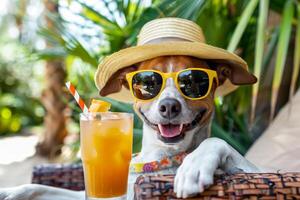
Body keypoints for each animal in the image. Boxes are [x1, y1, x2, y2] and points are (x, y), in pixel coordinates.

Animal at [0, 55, 258, 200]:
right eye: (147, 83)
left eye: (194, 81)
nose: (169, 106)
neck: (160, 159)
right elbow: (36, 187)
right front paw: (10, 192)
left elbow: (216, 142)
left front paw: (193, 166)